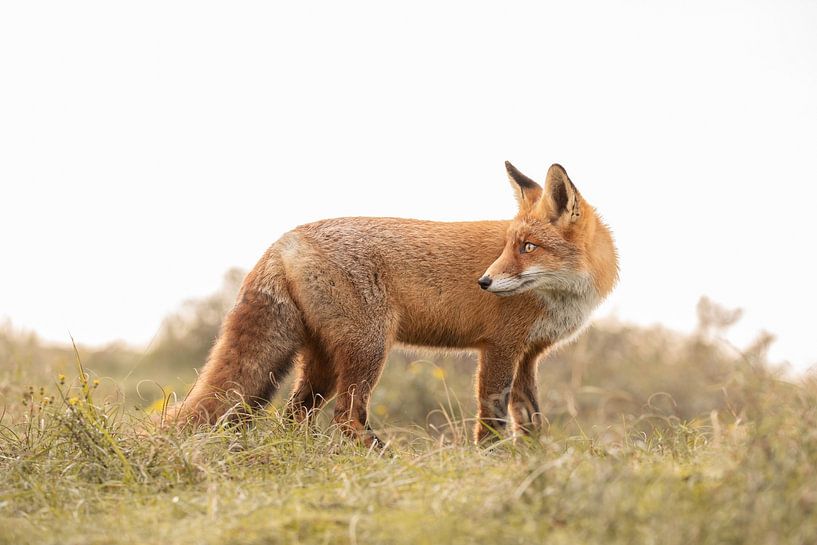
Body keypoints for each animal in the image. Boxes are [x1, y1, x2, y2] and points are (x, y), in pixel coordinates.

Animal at [164, 161, 619, 445]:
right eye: (512, 246)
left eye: (528, 247)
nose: (485, 282)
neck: (563, 297)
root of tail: (284, 240)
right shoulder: (501, 347)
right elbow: (492, 419)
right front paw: (492, 461)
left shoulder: (529, 355)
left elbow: (531, 421)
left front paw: (534, 464)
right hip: (368, 349)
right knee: (345, 416)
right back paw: (389, 460)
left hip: (323, 362)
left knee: (295, 416)